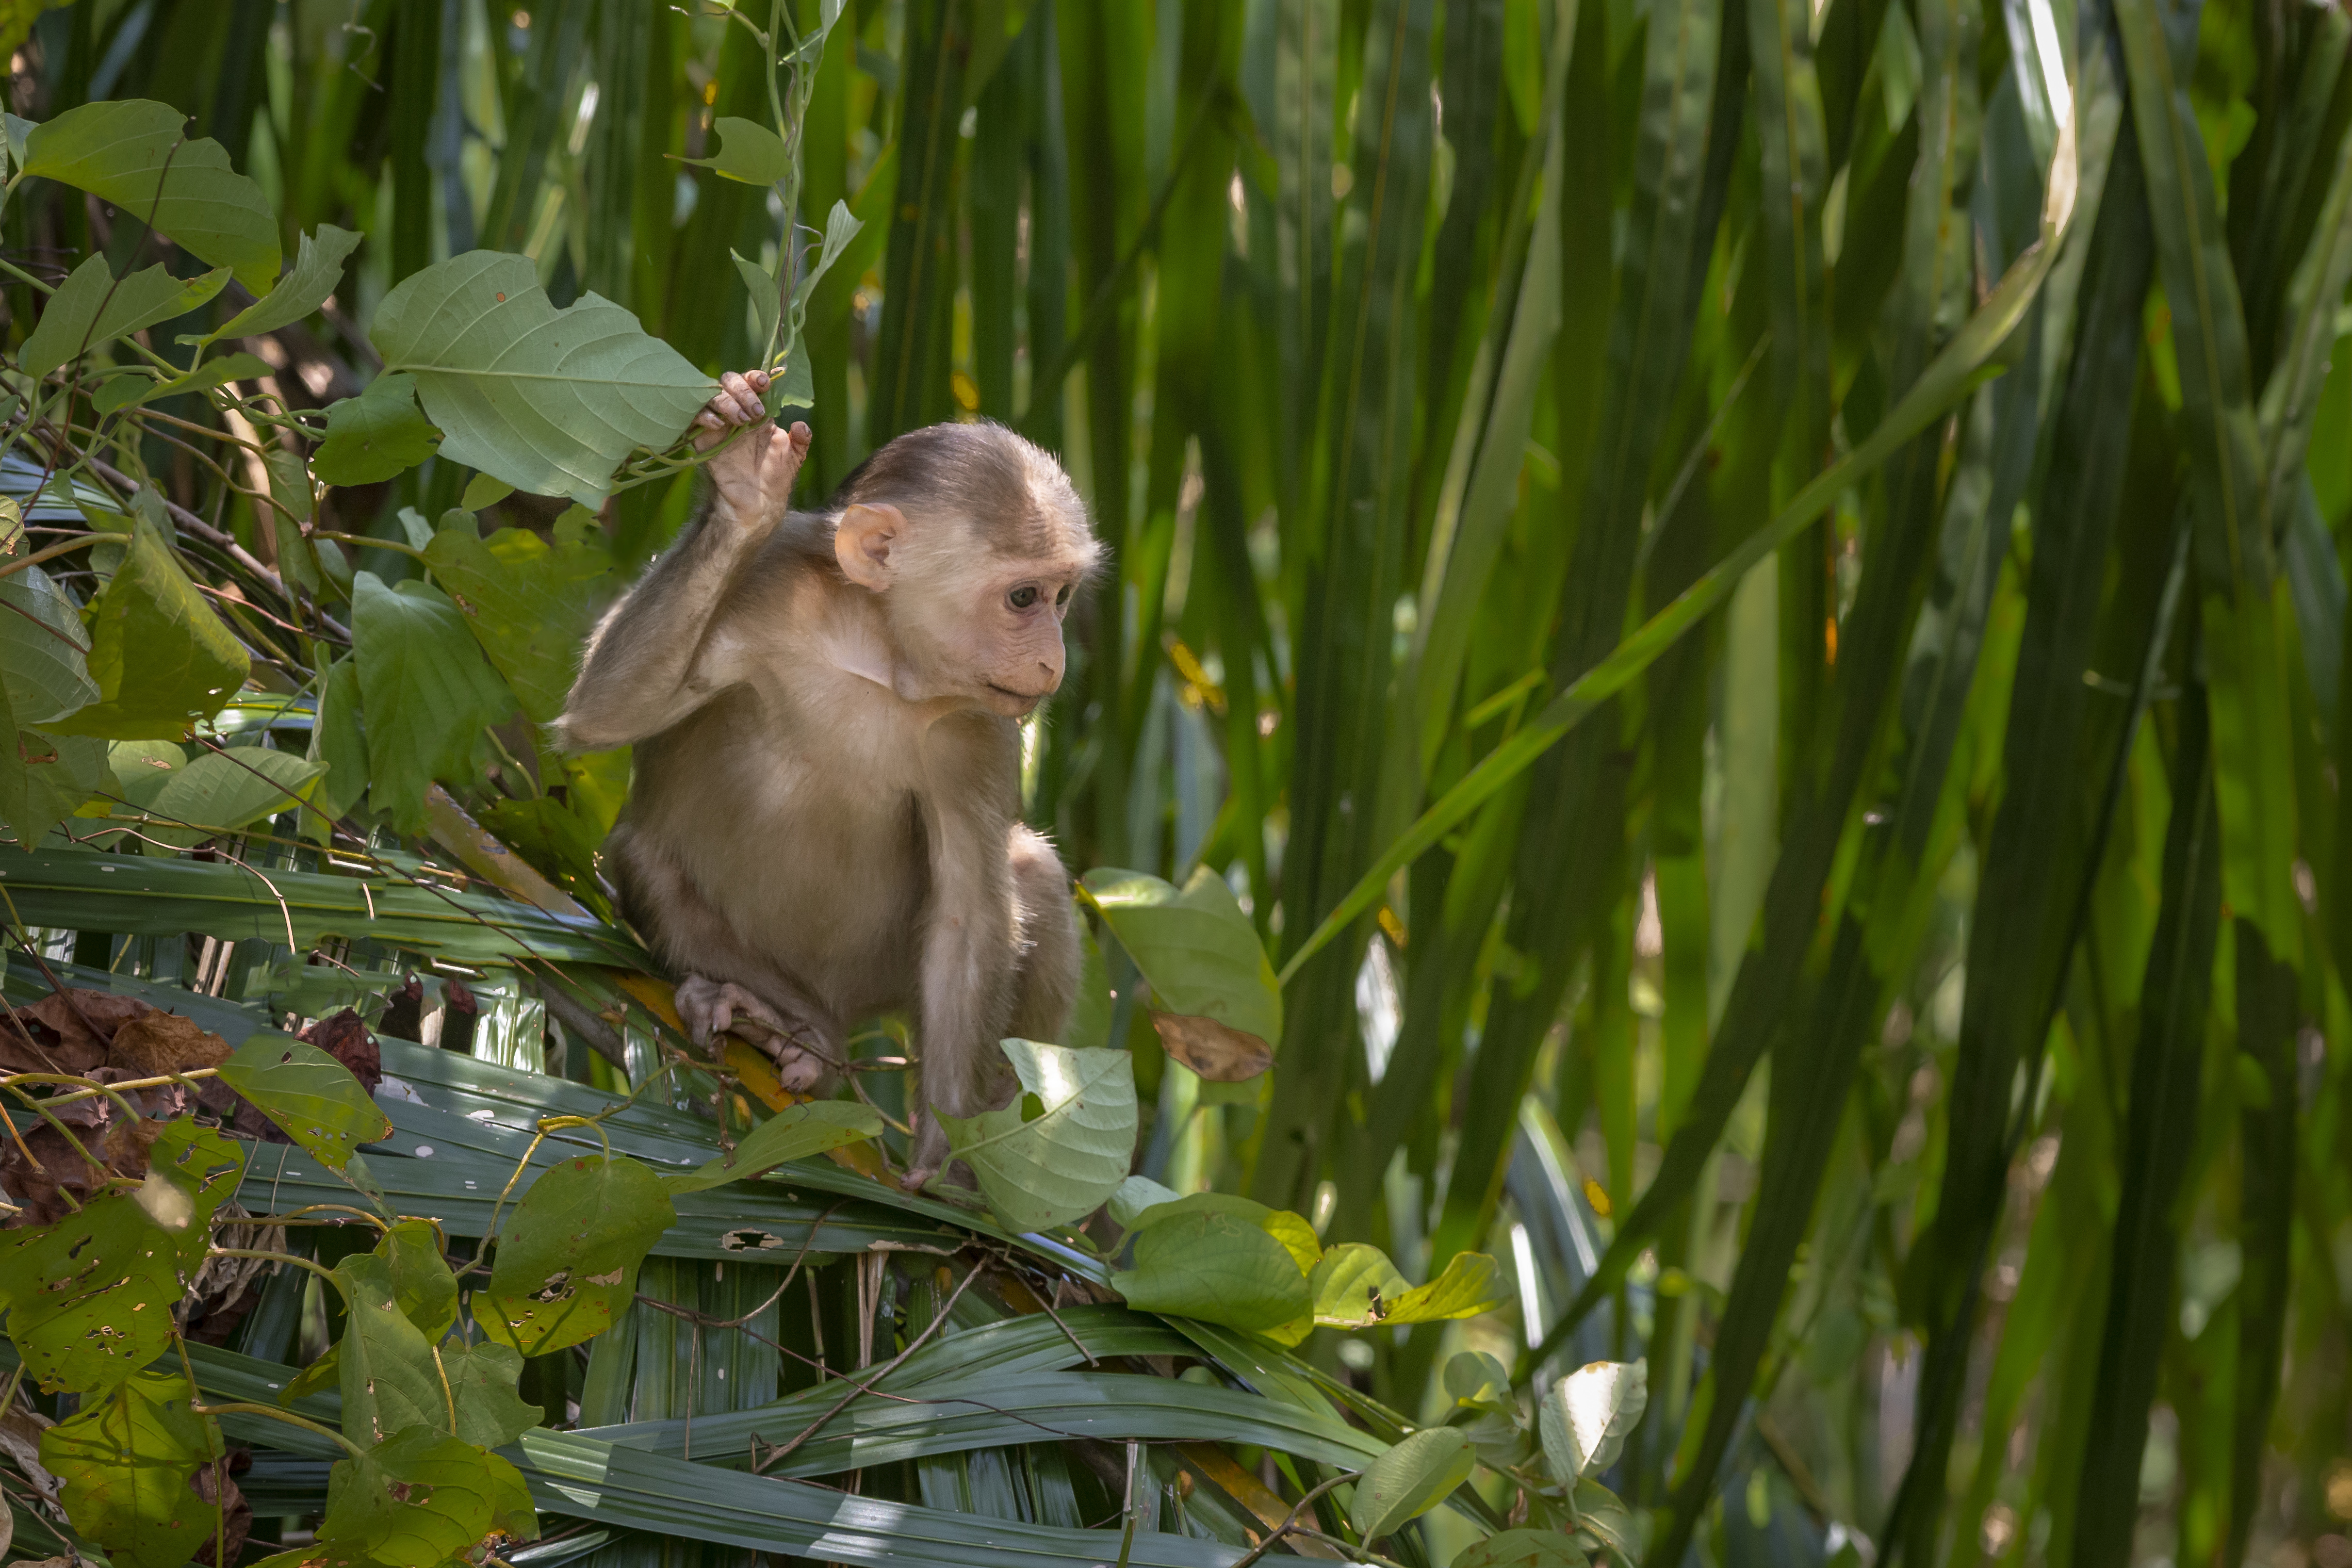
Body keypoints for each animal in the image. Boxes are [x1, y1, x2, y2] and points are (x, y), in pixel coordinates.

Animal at [555, 371, 1096, 1189]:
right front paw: (744, 487)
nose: (1052, 662)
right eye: (1024, 599)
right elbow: (606, 713)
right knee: (643, 857)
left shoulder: (978, 726)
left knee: (1029, 871)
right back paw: (779, 1021)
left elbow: (967, 915)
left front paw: (944, 1157)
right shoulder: (771, 583)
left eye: (1060, 597)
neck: (877, 651)